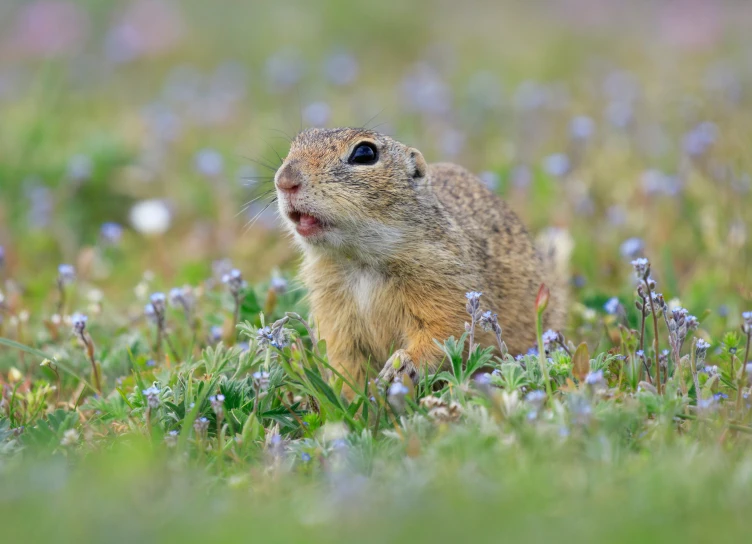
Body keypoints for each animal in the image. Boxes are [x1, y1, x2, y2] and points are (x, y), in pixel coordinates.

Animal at [274, 127, 568, 386]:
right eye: (295, 144)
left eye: (365, 153)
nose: (284, 181)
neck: (360, 260)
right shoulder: (333, 312)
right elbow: (343, 359)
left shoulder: (444, 282)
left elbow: (443, 331)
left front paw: (401, 366)